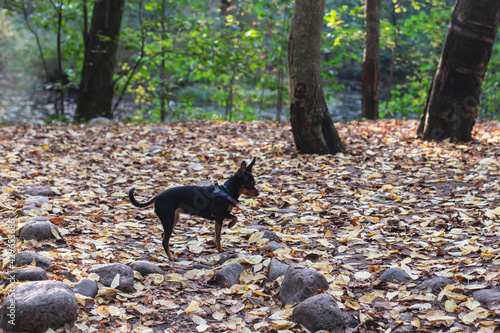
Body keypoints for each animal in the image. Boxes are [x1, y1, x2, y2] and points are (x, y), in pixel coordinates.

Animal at [129, 158, 258, 260]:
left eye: (254, 183)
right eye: (249, 184)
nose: (258, 193)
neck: (227, 191)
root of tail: (157, 197)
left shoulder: (218, 219)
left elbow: (218, 237)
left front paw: (220, 250)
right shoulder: (217, 213)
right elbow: (235, 217)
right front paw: (231, 225)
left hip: (173, 219)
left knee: (163, 237)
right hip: (169, 220)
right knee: (164, 241)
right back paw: (171, 257)